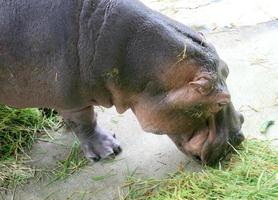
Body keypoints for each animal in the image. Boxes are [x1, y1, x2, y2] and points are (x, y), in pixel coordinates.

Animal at [0, 0, 243, 166]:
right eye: (220, 102)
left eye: (228, 70)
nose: (238, 139)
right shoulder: (72, 99)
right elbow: (85, 121)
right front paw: (110, 150)